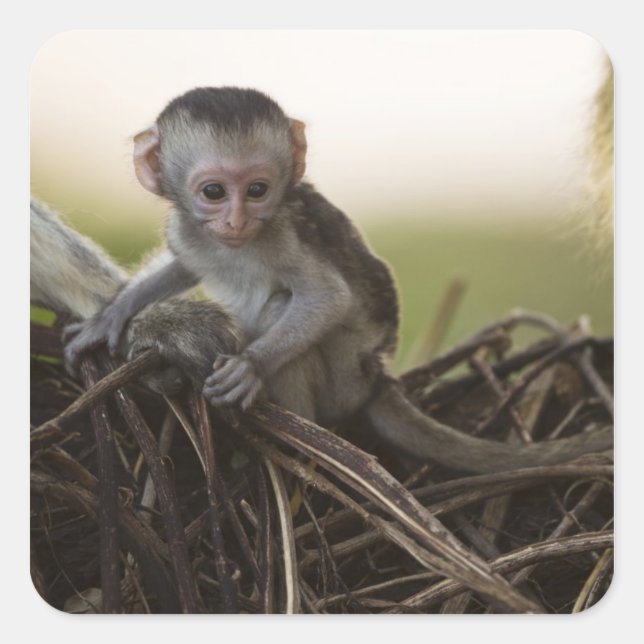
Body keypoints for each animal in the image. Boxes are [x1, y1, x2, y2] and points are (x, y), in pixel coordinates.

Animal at [63, 87, 612, 473]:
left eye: (258, 190)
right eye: (214, 192)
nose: (237, 221)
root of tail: (378, 377)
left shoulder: (282, 232)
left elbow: (327, 296)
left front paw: (250, 368)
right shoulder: (188, 231)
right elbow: (182, 266)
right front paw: (109, 317)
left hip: (346, 380)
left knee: (284, 306)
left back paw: (301, 436)